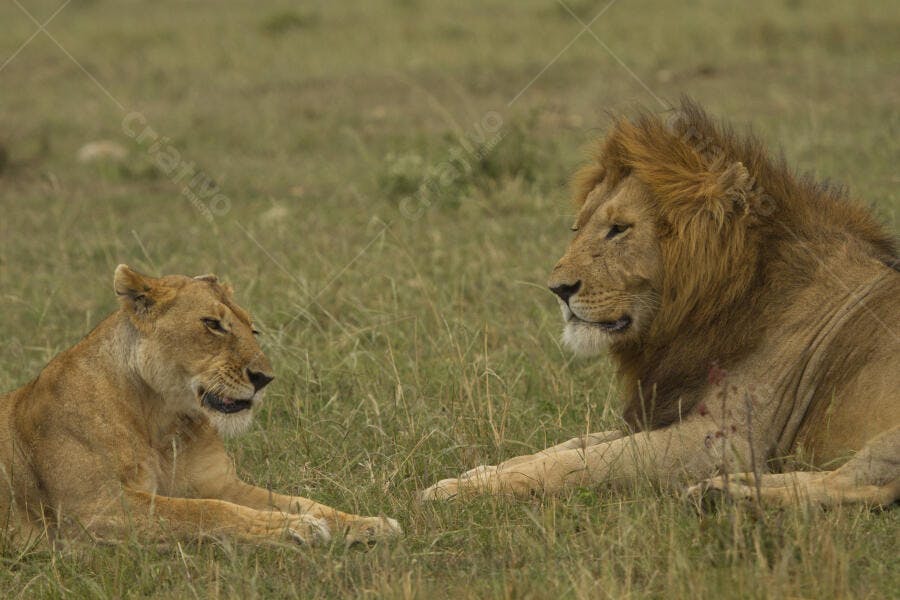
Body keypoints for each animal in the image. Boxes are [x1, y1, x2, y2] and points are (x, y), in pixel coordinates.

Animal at [0, 265, 401, 547]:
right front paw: (297, 529)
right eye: (213, 324)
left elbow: (302, 501)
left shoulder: (220, 483)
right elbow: (205, 512)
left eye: (252, 329)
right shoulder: (95, 508)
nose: (264, 378)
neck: (162, 421)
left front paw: (367, 523)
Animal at [422, 99, 899, 508]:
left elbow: (583, 463)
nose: (557, 288)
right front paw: (472, 475)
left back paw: (727, 494)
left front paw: (460, 491)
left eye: (619, 228)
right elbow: (567, 445)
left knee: (863, 485)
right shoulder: (661, 409)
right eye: (579, 227)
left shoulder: (722, 440)